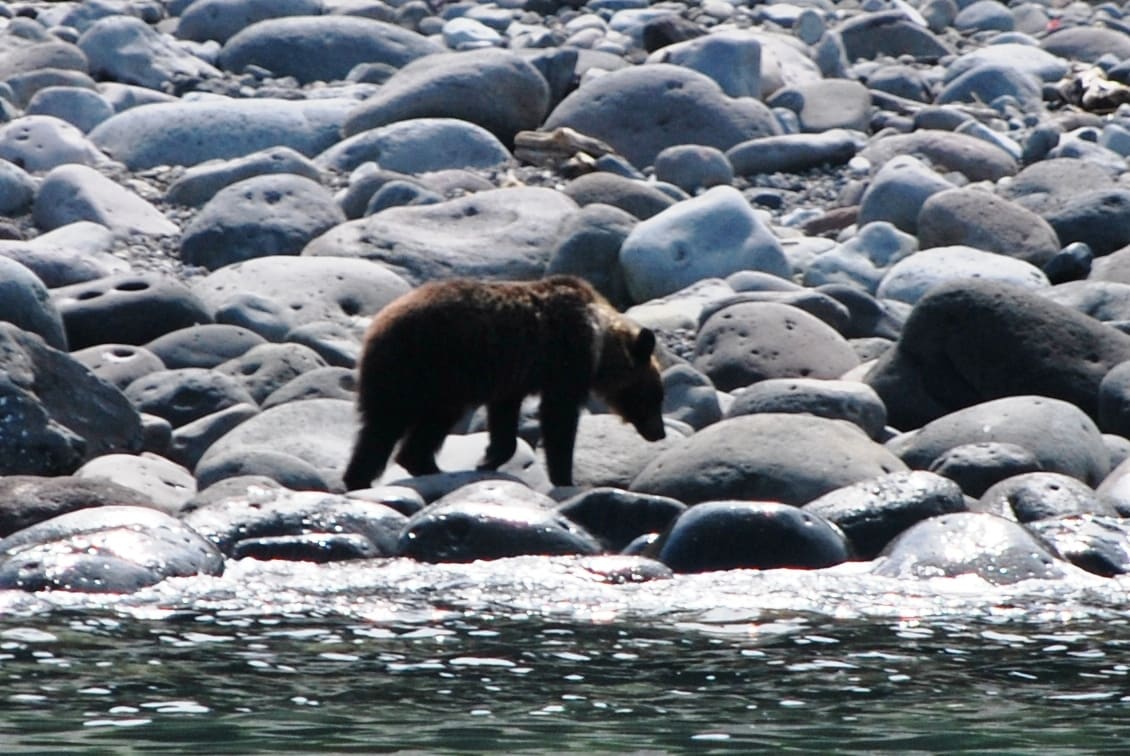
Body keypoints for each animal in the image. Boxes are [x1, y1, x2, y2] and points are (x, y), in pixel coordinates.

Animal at [343, 275, 666, 489]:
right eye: (655, 395)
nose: (660, 432)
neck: (599, 348)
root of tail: (377, 327)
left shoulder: (512, 378)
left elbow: (504, 419)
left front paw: (488, 459)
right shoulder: (564, 363)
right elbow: (559, 419)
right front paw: (565, 478)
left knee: (388, 427)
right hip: (425, 369)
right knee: (397, 424)